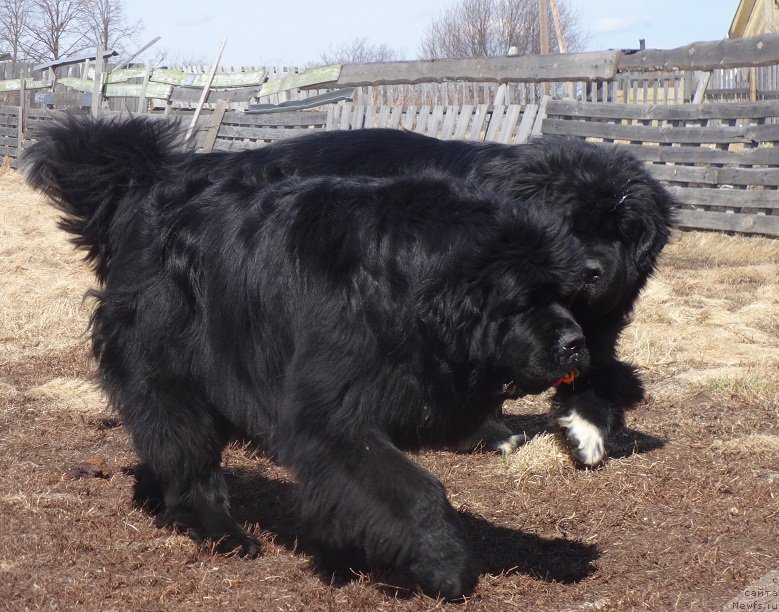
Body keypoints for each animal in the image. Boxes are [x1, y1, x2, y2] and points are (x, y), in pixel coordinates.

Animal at [22, 116, 592, 604]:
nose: (576, 341)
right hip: (167, 364)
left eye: (562, 293)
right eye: (523, 300)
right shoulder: (331, 412)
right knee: (186, 450)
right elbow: (413, 489)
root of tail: (141, 197)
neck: (409, 287)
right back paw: (222, 531)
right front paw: (448, 565)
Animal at [183, 129, 676, 464]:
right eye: (570, 225)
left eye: (621, 234)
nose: (593, 271)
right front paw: (488, 433)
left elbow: (599, 371)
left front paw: (587, 428)